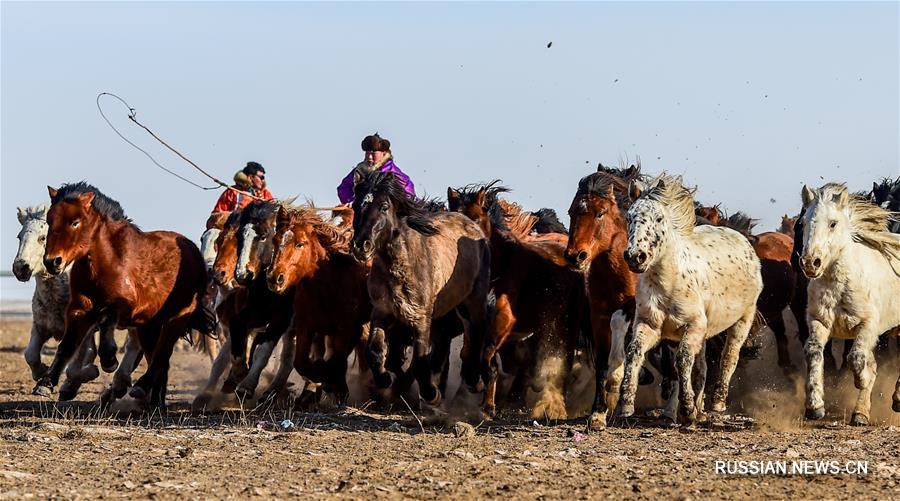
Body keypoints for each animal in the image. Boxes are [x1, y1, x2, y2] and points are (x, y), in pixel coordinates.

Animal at [34, 182, 214, 408]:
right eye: (50, 220)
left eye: (75, 222)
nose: (52, 261)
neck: (106, 262)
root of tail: (195, 254)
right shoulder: (78, 310)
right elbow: (66, 346)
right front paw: (46, 383)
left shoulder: (126, 307)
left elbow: (105, 319)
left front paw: (109, 359)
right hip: (149, 327)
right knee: (159, 362)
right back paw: (155, 403)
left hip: (177, 319)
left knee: (161, 356)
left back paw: (142, 388)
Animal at [266, 203, 370, 402]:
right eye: (274, 240)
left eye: (300, 243)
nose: (275, 278)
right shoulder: (305, 326)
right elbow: (301, 362)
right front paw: (321, 377)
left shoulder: (346, 329)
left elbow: (339, 358)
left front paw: (334, 384)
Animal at [446, 180, 588, 418]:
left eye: (476, 220)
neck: (497, 268)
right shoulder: (472, 322)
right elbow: (470, 354)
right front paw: (479, 389)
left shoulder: (503, 320)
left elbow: (487, 356)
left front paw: (487, 402)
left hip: (568, 323)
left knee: (563, 360)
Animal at [616, 174, 764, 424]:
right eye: (629, 217)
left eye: (658, 218)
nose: (636, 257)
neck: (668, 282)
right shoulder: (649, 325)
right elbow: (635, 351)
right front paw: (625, 405)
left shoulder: (693, 325)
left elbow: (684, 359)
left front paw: (686, 409)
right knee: (702, 366)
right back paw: (699, 406)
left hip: (743, 319)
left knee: (729, 356)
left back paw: (717, 403)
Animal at [800, 182, 900, 424]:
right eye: (804, 222)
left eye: (833, 223)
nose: (810, 263)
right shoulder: (820, 322)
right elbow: (813, 351)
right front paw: (815, 406)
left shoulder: (868, 325)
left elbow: (856, 358)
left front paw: (861, 379)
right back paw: (860, 414)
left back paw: (897, 399)